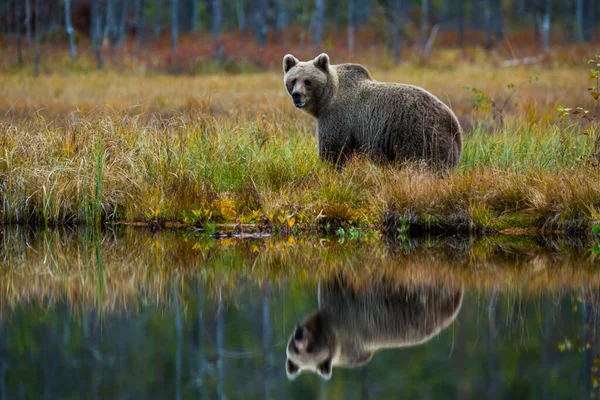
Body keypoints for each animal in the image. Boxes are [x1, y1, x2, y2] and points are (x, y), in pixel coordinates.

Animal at [284, 53, 462, 170]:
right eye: (293, 80)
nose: (297, 95)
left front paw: (330, 168)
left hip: (420, 135)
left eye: (308, 81)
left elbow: (333, 149)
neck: (327, 99)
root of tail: (454, 123)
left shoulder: (337, 116)